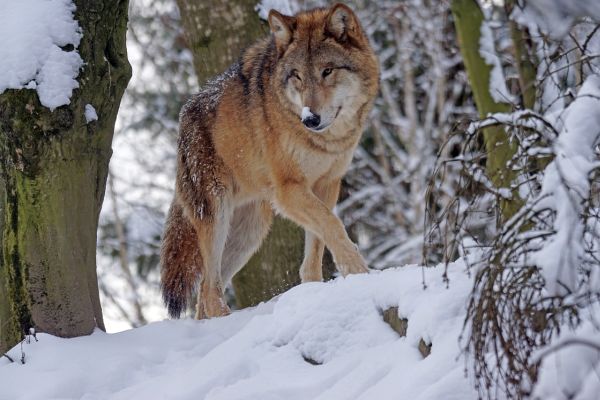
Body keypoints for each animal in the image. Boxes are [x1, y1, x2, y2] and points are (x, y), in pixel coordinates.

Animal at [162, 2, 378, 318]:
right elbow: (334, 226)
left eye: (327, 71)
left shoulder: (327, 185)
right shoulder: (289, 190)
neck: (325, 141)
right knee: (209, 290)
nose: (310, 119)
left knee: (204, 293)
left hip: (250, 232)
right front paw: (359, 272)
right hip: (217, 217)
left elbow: (317, 245)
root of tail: (184, 116)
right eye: (297, 75)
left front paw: (315, 291)